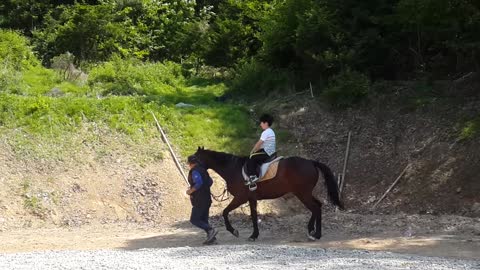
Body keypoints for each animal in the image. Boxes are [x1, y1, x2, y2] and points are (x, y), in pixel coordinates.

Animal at [192, 147, 344, 242]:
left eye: (195, 158)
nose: (191, 166)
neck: (233, 169)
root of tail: (311, 162)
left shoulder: (240, 198)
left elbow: (225, 212)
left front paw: (233, 231)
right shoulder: (251, 199)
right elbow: (254, 217)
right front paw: (254, 235)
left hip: (303, 194)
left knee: (316, 207)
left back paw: (316, 234)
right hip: (304, 193)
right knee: (317, 206)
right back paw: (311, 230)